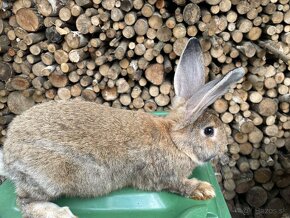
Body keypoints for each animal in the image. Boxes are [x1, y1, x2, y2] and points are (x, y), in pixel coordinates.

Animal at [0, 38, 245, 218]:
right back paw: (62, 214)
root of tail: (9, 156)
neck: (176, 141)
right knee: (25, 202)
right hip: (48, 180)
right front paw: (204, 189)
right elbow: (179, 185)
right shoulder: (164, 177)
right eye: (209, 131)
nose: (224, 148)